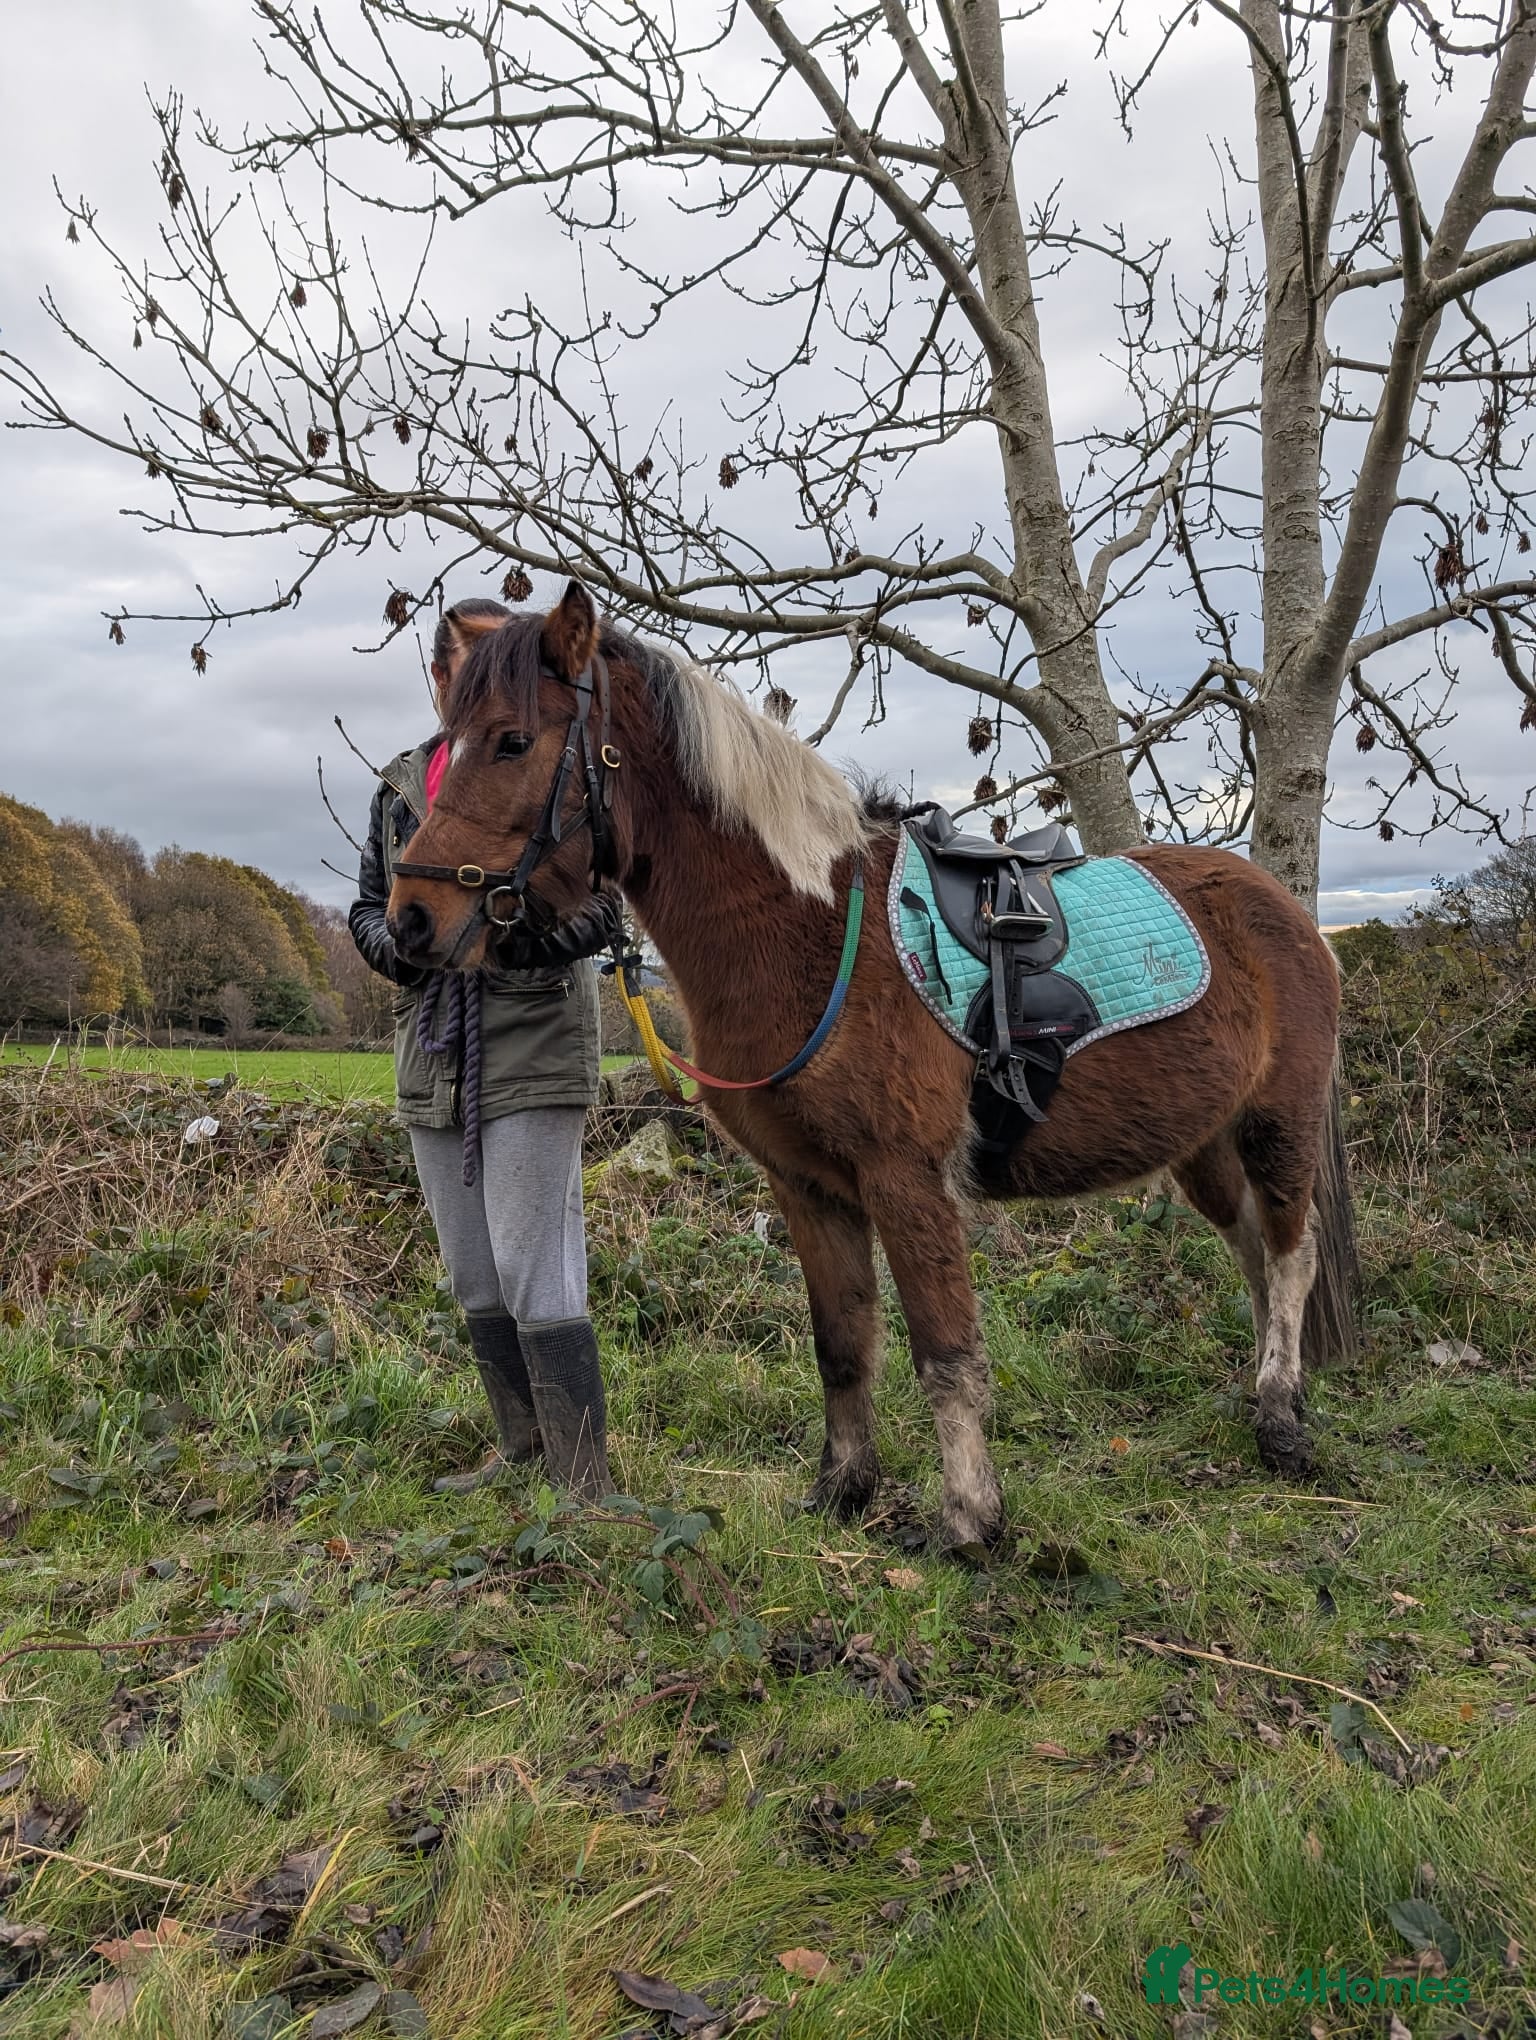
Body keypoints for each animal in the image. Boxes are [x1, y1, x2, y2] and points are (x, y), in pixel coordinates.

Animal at [387, 582, 1356, 1550]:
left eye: (513, 741)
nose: (410, 920)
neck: (809, 935)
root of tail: (1289, 915)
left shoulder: (905, 1179)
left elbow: (945, 1355)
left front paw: (970, 1522)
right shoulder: (808, 1187)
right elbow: (842, 1345)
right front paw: (843, 1490)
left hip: (1276, 1125)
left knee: (1292, 1249)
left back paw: (1279, 1417)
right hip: (1201, 1143)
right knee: (1251, 1247)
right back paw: (1262, 1393)